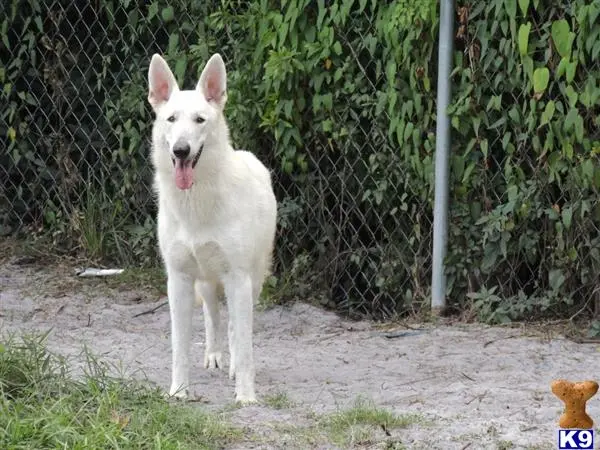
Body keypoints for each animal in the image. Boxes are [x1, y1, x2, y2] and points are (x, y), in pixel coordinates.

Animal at [146, 52, 278, 404]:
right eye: (171, 119)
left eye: (200, 120)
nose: (180, 150)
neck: (197, 203)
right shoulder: (178, 280)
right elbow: (179, 348)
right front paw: (179, 392)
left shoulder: (238, 277)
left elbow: (243, 346)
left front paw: (245, 397)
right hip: (205, 282)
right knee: (213, 319)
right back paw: (214, 356)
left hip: (252, 281)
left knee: (234, 326)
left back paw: (231, 367)